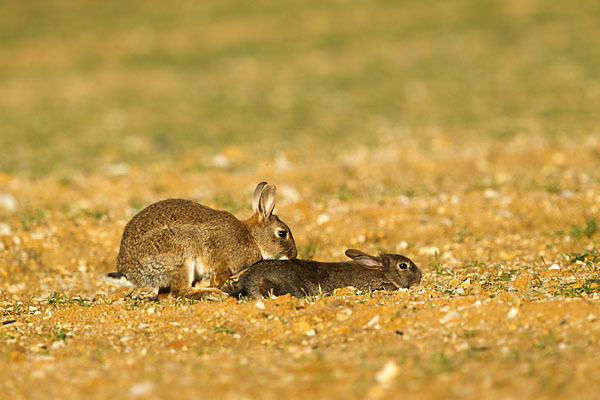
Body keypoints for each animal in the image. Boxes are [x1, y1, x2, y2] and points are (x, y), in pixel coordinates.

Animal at [107, 182, 298, 300]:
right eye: (282, 233)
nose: (294, 255)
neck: (253, 237)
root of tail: (131, 272)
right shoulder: (222, 266)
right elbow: (218, 278)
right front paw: (220, 290)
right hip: (181, 257)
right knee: (179, 292)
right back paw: (214, 295)